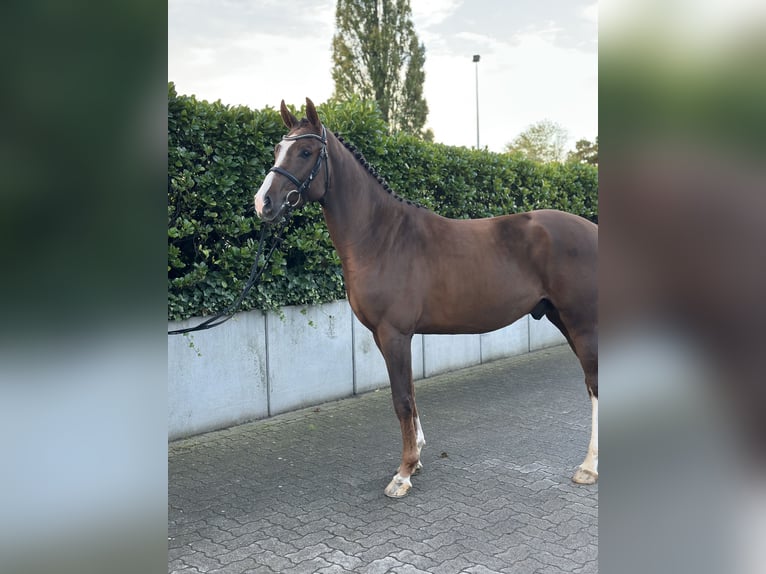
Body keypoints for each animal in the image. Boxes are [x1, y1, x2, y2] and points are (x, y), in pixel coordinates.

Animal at [254, 98, 598, 498]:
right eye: (277, 149)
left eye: (306, 152)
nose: (263, 203)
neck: (382, 237)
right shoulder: (388, 336)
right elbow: (412, 395)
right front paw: (415, 458)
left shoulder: (394, 333)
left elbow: (401, 399)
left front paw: (403, 474)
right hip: (563, 319)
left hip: (581, 323)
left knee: (595, 384)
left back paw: (588, 468)